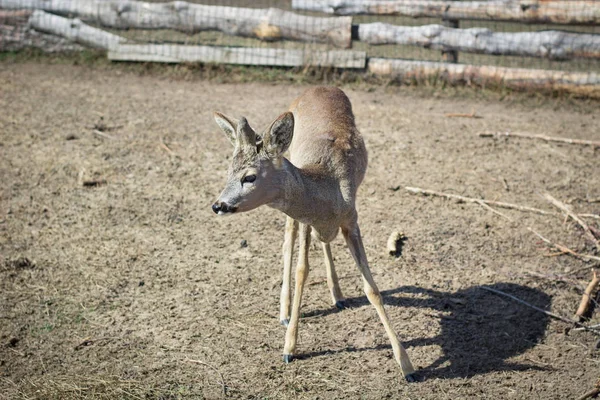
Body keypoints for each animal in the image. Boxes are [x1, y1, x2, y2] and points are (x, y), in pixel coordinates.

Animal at [213, 86, 414, 380]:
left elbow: (372, 289)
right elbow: (301, 271)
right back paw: (285, 312)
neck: (326, 188)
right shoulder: (306, 219)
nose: (218, 205)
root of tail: (318, 88)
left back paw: (337, 295)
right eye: (228, 172)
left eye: (249, 177)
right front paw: (289, 347)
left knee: (321, 242)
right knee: (288, 242)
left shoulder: (351, 218)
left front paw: (407, 365)